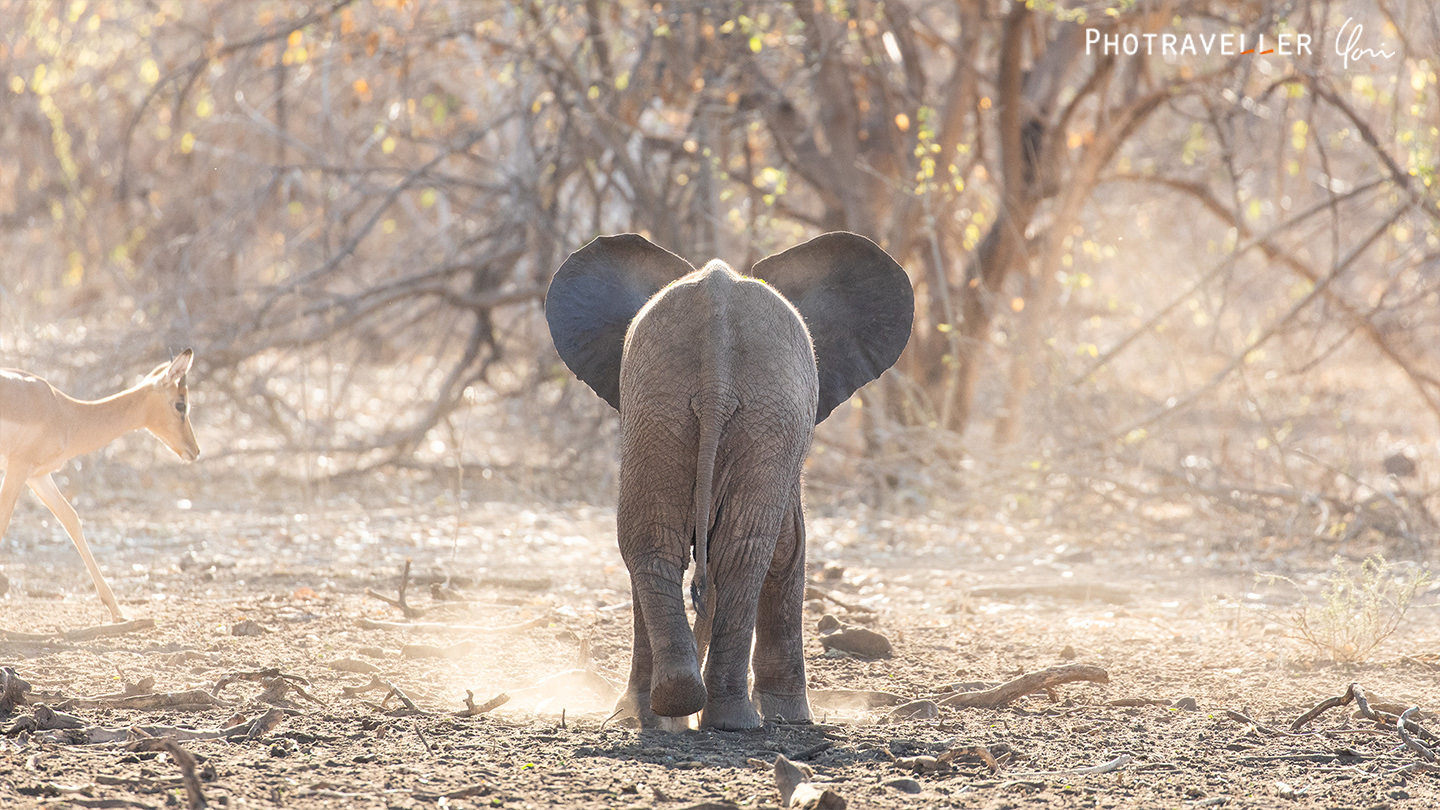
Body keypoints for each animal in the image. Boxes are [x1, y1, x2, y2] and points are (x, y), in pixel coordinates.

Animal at [545, 231, 913, 730]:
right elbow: (790, 547)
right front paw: (791, 716)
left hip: (664, 406)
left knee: (655, 540)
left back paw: (670, 707)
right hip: (756, 411)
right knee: (740, 551)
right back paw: (725, 717)